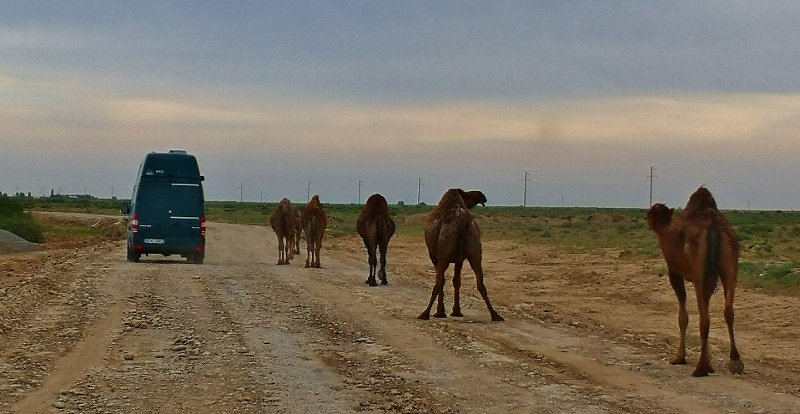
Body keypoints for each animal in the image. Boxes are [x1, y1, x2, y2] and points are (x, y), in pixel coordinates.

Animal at [416, 189, 504, 322]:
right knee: (480, 283)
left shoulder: (434, 256)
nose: (482, 196)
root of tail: (460, 223)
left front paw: (440, 312)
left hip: (443, 255)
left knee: (438, 283)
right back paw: (496, 315)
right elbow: (457, 281)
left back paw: (424, 314)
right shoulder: (460, 259)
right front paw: (456, 311)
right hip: (475, 251)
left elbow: (444, 281)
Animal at [644, 188, 744, 378]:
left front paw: (678, 358)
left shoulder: (674, 273)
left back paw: (700, 368)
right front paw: (710, 362)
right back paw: (735, 363)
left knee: (704, 318)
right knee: (728, 310)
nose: (646, 217)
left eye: (653, 211)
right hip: (729, 264)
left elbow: (683, 317)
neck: (665, 231)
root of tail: (714, 228)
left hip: (699, 271)